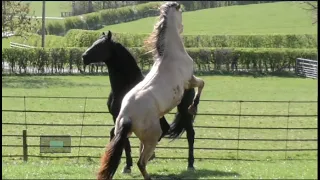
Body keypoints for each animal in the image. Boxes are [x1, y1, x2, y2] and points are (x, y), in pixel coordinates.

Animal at [82, 31, 198, 173]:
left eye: (100, 46)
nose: (84, 57)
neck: (125, 86)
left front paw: (128, 165)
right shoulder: (116, 117)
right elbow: (118, 137)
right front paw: (127, 164)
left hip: (184, 111)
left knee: (190, 134)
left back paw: (190, 164)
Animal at [96, 2, 205, 179]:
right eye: (181, 13)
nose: (182, 27)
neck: (171, 56)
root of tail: (126, 116)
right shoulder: (189, 80)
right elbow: (201, 84)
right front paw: (193, 107)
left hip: (125, 133)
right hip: (152, 136)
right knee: (141, 162)